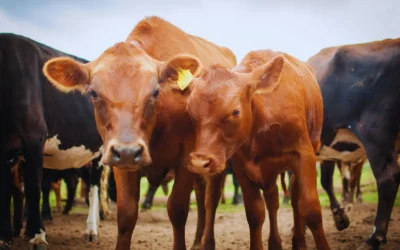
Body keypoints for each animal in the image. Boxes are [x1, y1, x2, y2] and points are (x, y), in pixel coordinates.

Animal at [0, 32, 104, 248]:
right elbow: (5, 190)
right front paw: (4, 238)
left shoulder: (34, 138)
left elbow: (34, 187)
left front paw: (38, 236)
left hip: (100, 151)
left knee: (94, 186)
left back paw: (91, 229)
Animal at [41, 16, 234, 250]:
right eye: (93, 93)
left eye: (156, 92)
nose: (127, 151)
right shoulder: (120, 162)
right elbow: (126, 214)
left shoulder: (185, 157)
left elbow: (178, 209)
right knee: (200, 193)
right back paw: (197, 240)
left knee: (210, 200)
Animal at [173, 49, 330, 249]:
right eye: (189, 111)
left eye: (235, 112)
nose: (200, 162)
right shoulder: (242, 166)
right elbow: (255, 213)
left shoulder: (304, 155)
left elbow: (310, 209)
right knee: (215, 200)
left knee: (293, 198)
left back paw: (298, 241)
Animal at [310, 40, 400, 249]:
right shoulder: (326, 149)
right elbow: (325, 181)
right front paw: (340, 217)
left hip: (374, 133)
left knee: (388, 178)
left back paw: (373, 238)